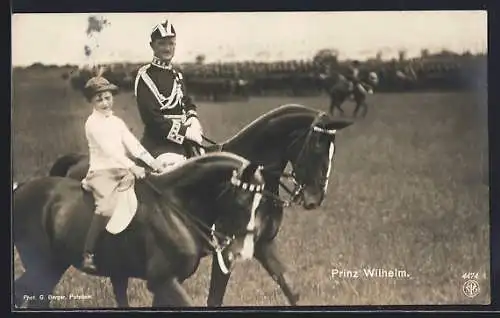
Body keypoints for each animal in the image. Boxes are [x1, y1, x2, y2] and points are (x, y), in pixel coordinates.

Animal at [13, 152, 266, 308]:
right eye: (243, 202)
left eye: (259, 204)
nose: (243, 253)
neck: (175, 207)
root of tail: (21, 188)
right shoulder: (162, 281)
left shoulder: (167, 283)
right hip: (41, 264)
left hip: (56, 264)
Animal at [46, 104, 352, 306]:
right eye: (316, 146)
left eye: (332, 150)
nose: (313, 199)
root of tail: (77, 161)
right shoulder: (226, 252)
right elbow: (213, 299)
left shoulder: (264, 245)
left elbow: (291, 288)